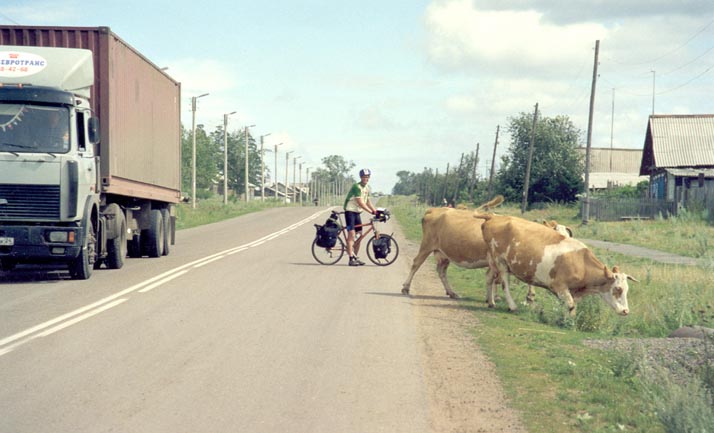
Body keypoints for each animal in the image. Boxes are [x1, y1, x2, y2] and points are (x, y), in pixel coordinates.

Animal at [478, 214, 636, 316]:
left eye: (627, 289)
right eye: (618, 289)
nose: (626, 311)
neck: (582, 262)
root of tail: (494, 217)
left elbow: (569, 306)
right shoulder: (559, 286)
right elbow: (571, 305)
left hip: (493, 263)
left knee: (489, 277)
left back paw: (491, 301)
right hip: (501, 262)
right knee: (504, 283)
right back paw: (511, 306)